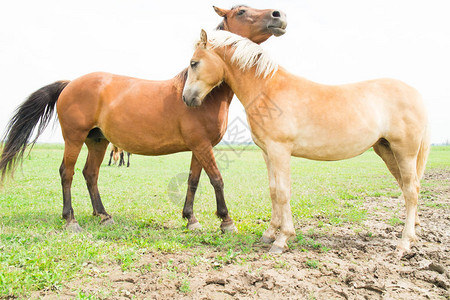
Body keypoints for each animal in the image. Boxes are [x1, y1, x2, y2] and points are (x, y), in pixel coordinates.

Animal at [0, 5, 288, 233]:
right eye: (241, 11)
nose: (279, 15)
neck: (202, 93)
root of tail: (70, 84)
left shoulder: (200, 146)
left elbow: (194, 180)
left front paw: (191, 219)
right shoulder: (202, 145)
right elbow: (216, 178)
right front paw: (226, 221)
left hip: (97, 141)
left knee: (90, 174)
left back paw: (104, 215)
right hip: (74, 137)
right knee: (67, 173)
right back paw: (71, 220)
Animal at [182, 29, 428, 255]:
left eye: (194, 63)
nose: (186, 98)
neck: (267, 88)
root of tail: (416, 94)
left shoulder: (280, 150)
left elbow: (283, 192)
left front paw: (282, 239)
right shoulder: (267, 152)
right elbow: (273, 191)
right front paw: (269, 233)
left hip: (404, 152)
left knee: (411, 190)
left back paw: (404, 243)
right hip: (387, 151)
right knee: (406, 188)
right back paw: (413, 234)